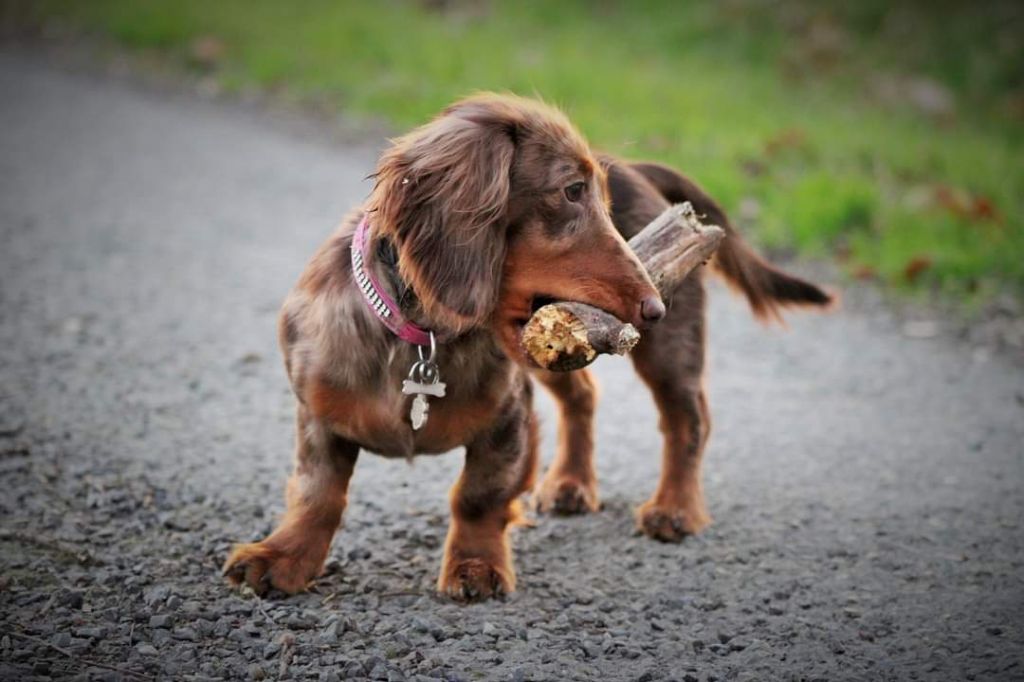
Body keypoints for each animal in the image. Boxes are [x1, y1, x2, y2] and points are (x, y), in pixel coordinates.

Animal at [226, 93, 831, 598]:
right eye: (572, 191)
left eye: (602, 200)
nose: (656, 307)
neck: (425, 341)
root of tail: (638, 168)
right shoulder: (317, 414)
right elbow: (318, 493)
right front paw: (284, 557)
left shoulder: (508, 420)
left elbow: (476, 496)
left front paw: (475, 566)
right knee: (584, 396)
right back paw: (570, 483)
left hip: (662, 355)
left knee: (688, 419)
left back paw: (674, 507)